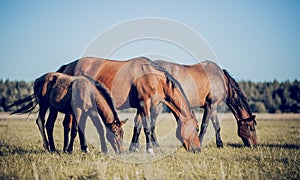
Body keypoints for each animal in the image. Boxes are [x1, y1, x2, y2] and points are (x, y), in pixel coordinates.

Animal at [57, 57, 200, 154]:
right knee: (71, 124)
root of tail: (69, 65)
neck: (152, 76)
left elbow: (138, 126)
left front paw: (133, 148)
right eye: (197, 129)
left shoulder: (140, 107)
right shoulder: (144, 104)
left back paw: (74, 148)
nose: (197, 149)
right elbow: (147, 128)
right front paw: (150, 150)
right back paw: (72, 149)